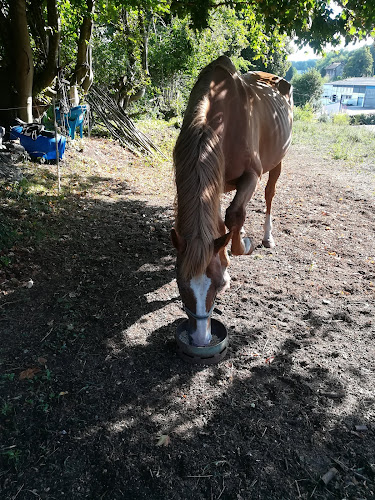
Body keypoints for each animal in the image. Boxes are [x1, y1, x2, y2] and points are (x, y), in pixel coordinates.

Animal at [171, 54, 294, 344]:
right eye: (181, 284)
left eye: (217, 285)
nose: (201, 338)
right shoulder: (210, 184)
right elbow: (220, 225)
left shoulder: (251, 175)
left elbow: (234, 216)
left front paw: (241, 248)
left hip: (277, 164)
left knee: (269, 196)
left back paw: (266, 236)